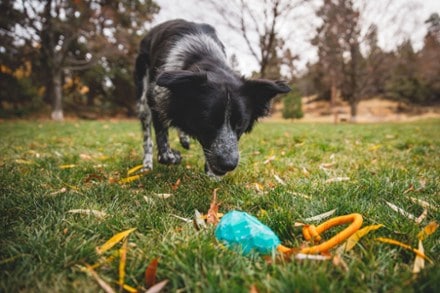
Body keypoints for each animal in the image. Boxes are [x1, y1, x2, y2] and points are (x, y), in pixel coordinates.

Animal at [136, 20, 290, 176]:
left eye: (240, 124)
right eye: (208, 121)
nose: (229, 164)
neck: (203, 55)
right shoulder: (156, 96)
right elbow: (163, 150)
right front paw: (173, 156)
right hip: (143, 99)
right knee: (147, 135)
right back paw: (147, 165)